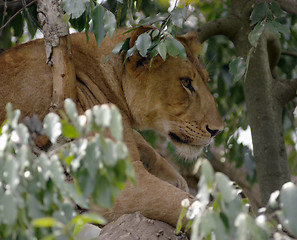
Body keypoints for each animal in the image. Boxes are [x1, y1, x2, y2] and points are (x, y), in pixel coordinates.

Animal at [0, 26, 222, 227]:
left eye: (206, 80)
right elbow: (184, 206)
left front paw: (173, 176)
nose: (216, 131)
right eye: (185, 82)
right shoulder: (115, 184)